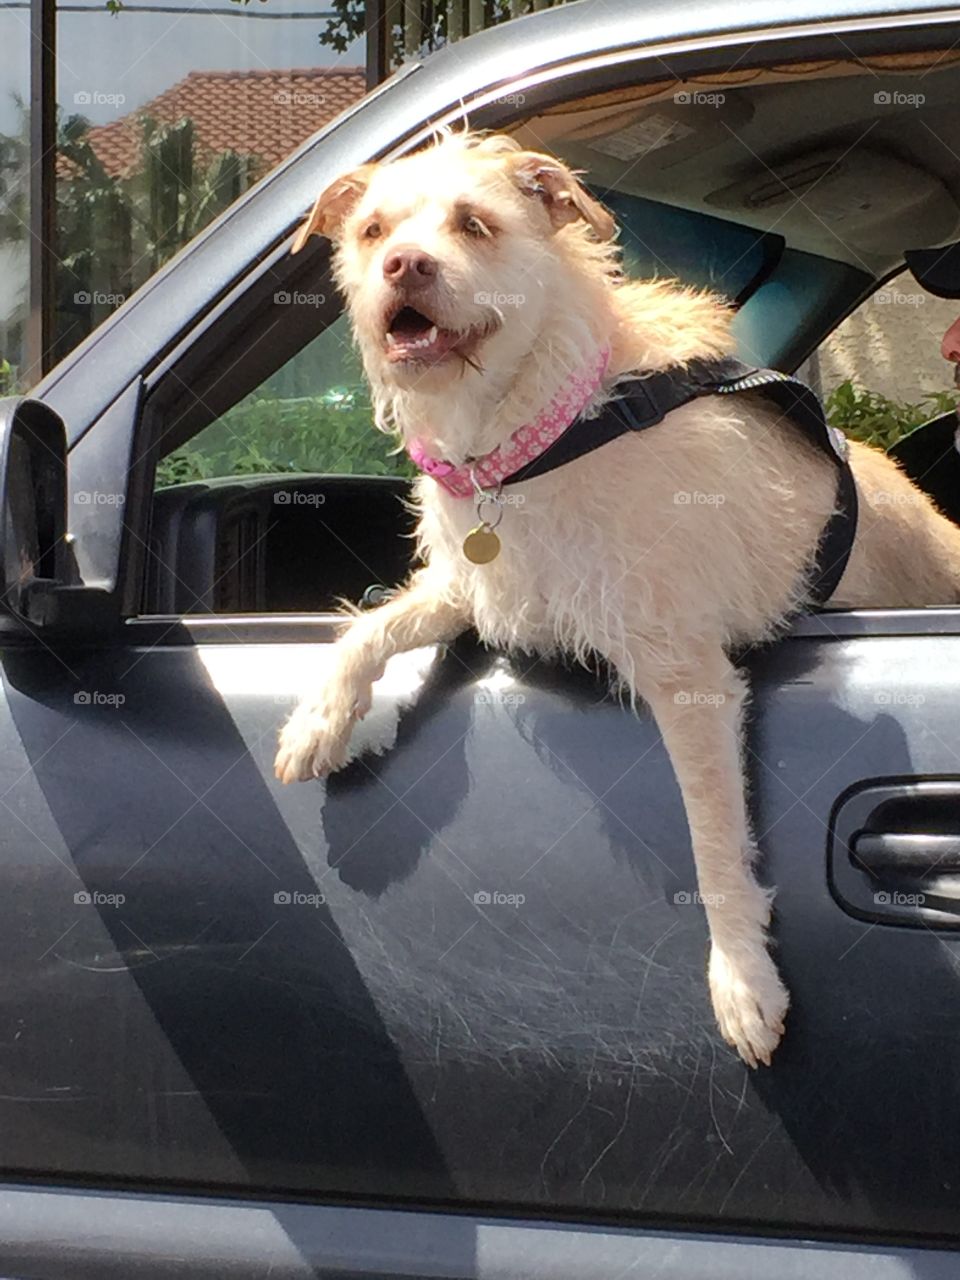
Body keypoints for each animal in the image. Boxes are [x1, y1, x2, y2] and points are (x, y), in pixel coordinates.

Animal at [272, 132, 960, 1070]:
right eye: (373, 230)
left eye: (474, 225)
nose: (403, 264)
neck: (539, 430)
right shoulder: (482, 584)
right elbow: (372, 628)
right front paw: (320, 722)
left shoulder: (689, 677)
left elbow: (711, 837)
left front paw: (741, 976)